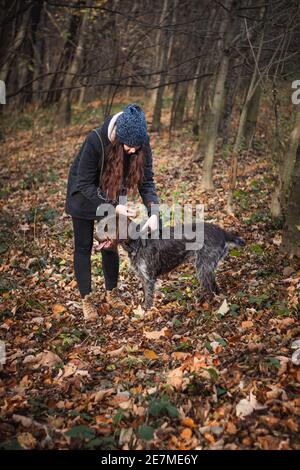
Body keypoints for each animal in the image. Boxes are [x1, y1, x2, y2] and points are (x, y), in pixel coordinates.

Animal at [95, 216, 245, 310]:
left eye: (107, 227)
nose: (95, 236)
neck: (136, 243)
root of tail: (223, 232)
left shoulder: (148, 277)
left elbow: (148, 297)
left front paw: (146, 311)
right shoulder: (143, 276)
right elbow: (145, 294)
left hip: (203, 267)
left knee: (212, 289)